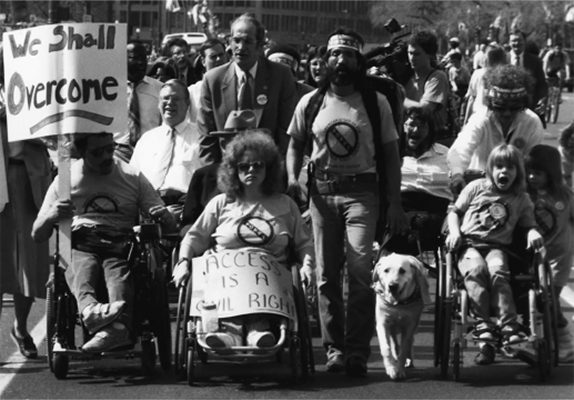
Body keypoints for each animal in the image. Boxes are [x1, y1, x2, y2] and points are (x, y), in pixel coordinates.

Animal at [374, 252, 432, 380]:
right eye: (386, 270)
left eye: (402, 270)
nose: (392, 286)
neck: (399, 304)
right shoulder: (382, 323)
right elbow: (386, 348)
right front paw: (391, 368)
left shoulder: (410, 325)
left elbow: (405, 348)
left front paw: (400, 369)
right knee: (394, 341)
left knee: (410, 342)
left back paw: (408, 360)